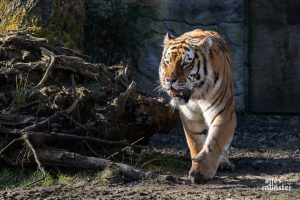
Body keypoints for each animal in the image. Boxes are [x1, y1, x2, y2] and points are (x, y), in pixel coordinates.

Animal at [158, 28, 238, 184]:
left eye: (185, 63)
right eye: (166, 62)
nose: (169, 80)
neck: (197, 96)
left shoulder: (224, 113)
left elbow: (214, 142)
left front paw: (201, 173)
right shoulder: (190, 117)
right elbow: (196, 142)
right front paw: (197, 164)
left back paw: (223, 162)